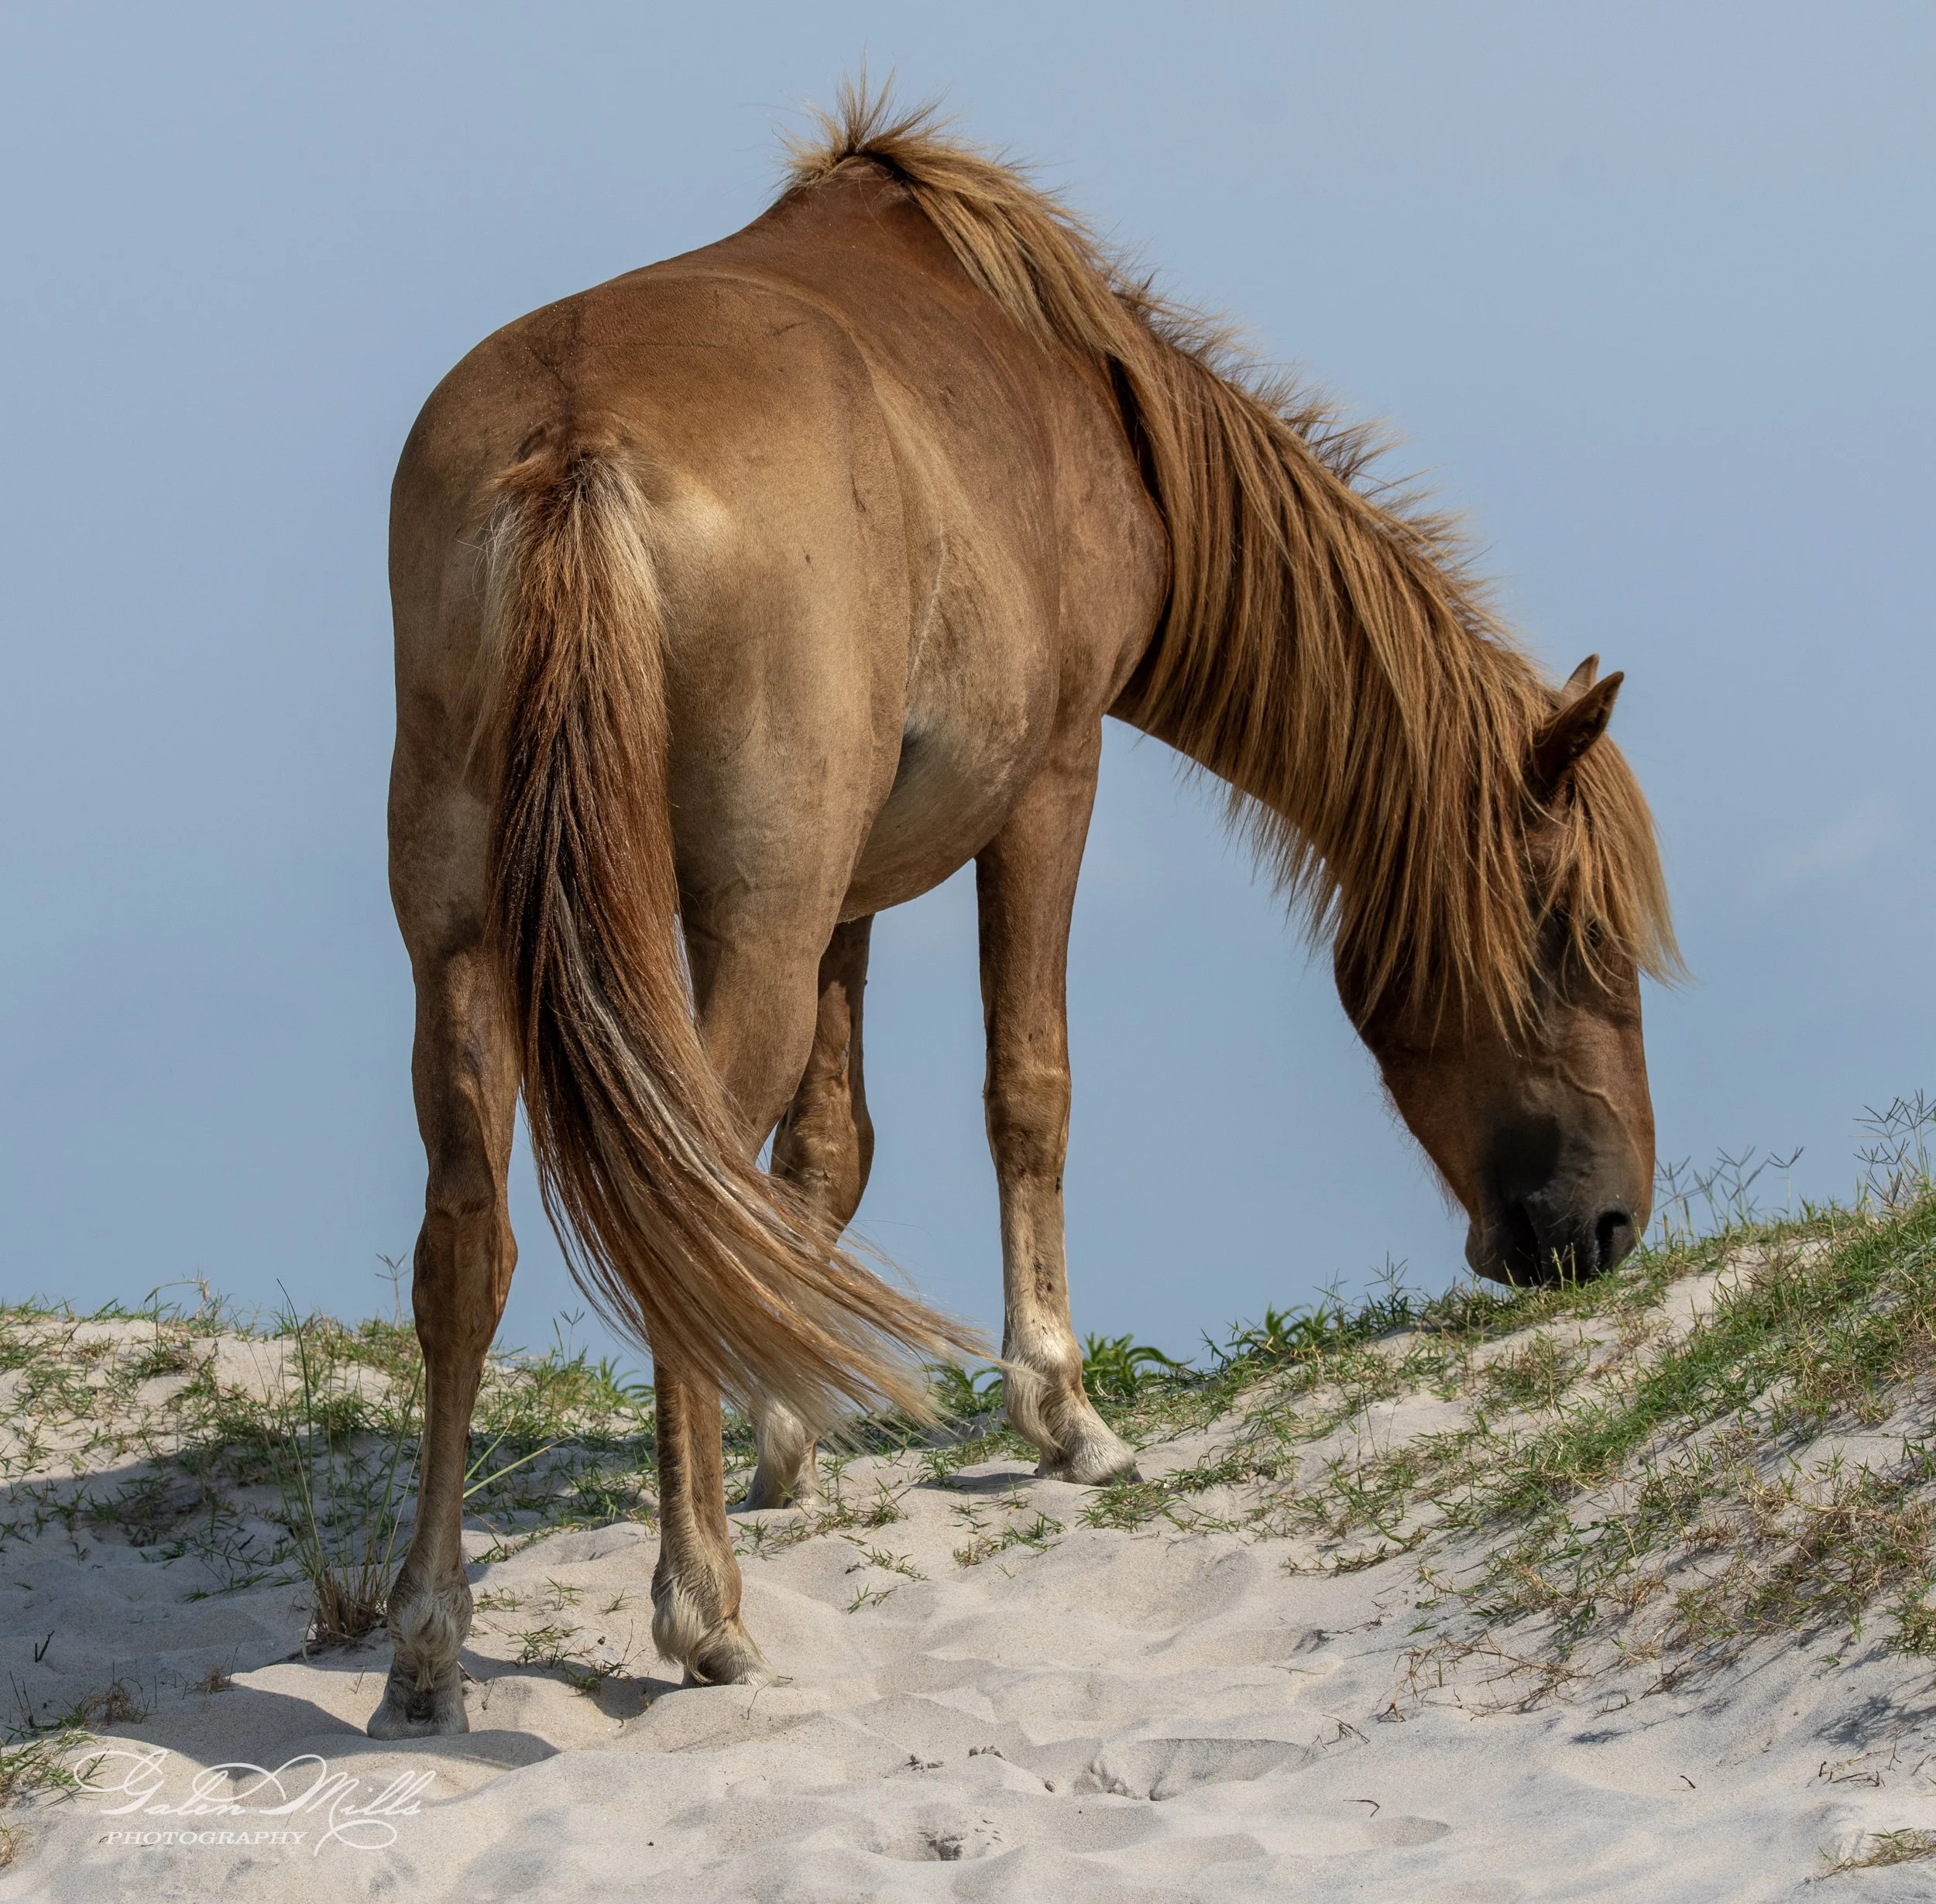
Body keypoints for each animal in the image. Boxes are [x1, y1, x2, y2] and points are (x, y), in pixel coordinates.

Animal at [373, 89, 1676, 1737]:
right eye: (1572, 935)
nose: (1606, 1222)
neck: (1088, 397)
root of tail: (573, 443)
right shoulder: (1054, 778)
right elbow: (1027, 1089)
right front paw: (1064, 1411)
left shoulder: (846, 893)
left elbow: (821, 1160)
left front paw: (788, 1435)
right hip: (741, 926)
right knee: (674, 1195)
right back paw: (704, 1613)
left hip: (469, 940)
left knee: (470, 1242)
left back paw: (428, 1640)